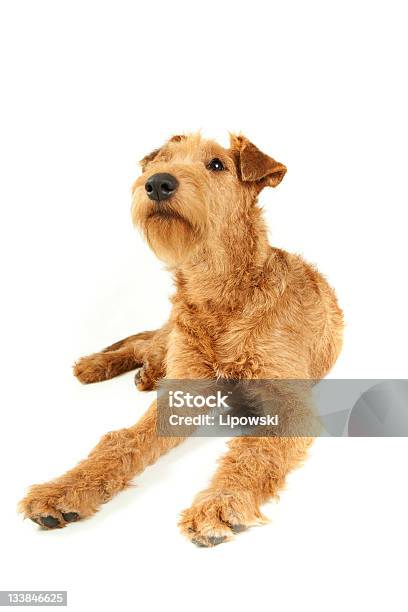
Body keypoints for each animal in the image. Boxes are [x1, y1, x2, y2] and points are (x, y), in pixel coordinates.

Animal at [19, 133, 344, 544]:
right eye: (164, 160)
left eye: (217, 164)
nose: (157, 182)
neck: (220, 291)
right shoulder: (184, 388)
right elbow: (122, 439)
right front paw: (62, 490)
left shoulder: (289, 404)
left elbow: (255, 452)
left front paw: (220, 504)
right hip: (170, 336)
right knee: (142, 344)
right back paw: (97, 365)